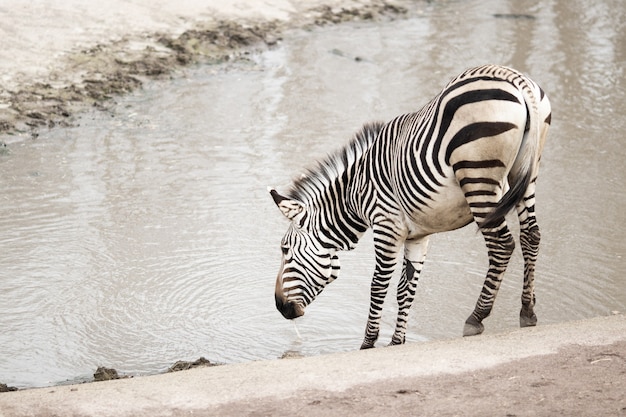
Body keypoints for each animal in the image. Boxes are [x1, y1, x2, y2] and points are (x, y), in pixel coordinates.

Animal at [266, 64, 544, 348]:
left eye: (285, 249)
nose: (280, 307)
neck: (355, 194)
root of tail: (513, 78)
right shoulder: (418, 235)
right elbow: (405, 288)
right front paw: (397, 342)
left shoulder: (386, 225)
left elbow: (379, 285)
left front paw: (368, 344)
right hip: (526, 174)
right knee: (531, 235)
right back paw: (527, 311)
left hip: (478, 176)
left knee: (502, 243)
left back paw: (476, 317)